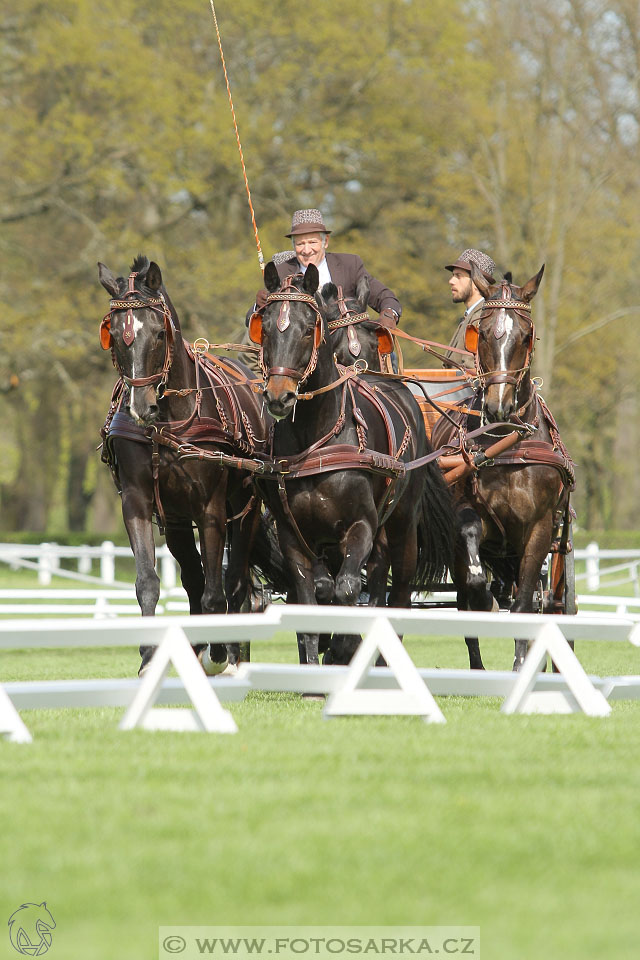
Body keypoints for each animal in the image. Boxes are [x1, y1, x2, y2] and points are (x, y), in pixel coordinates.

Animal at [97, 255, 280, 676]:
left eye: (158, 333)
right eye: (113, 334)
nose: (141, 407)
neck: (167, 423)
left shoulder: (209, 507)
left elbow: (217, 590)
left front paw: (218, 655)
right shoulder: (138, 501)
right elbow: (148, 582)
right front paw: (150, 657)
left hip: (244, 508)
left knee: (234, 582)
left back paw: (230, 654)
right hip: (178, 520)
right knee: (195, 579)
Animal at [250, 262, 456, 668]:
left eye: (308, 328)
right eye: (264, 328)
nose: (280, 397)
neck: (316, 441)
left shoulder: (360, 525)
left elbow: (347, 589)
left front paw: (343, 647)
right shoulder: (293, 535)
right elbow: (312, 596)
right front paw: (316, 658)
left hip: (402, 525)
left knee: (396, 590)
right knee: (372, 578)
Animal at [430, 262, 576, 668]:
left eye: (526, 336)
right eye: (481, 334)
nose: (498, 406)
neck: (506, 445)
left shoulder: (539, 528)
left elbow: (525, 602)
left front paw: (522, 663)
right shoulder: (467, 513)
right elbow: (474, 575)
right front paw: (485, 596)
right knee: (466, 601)